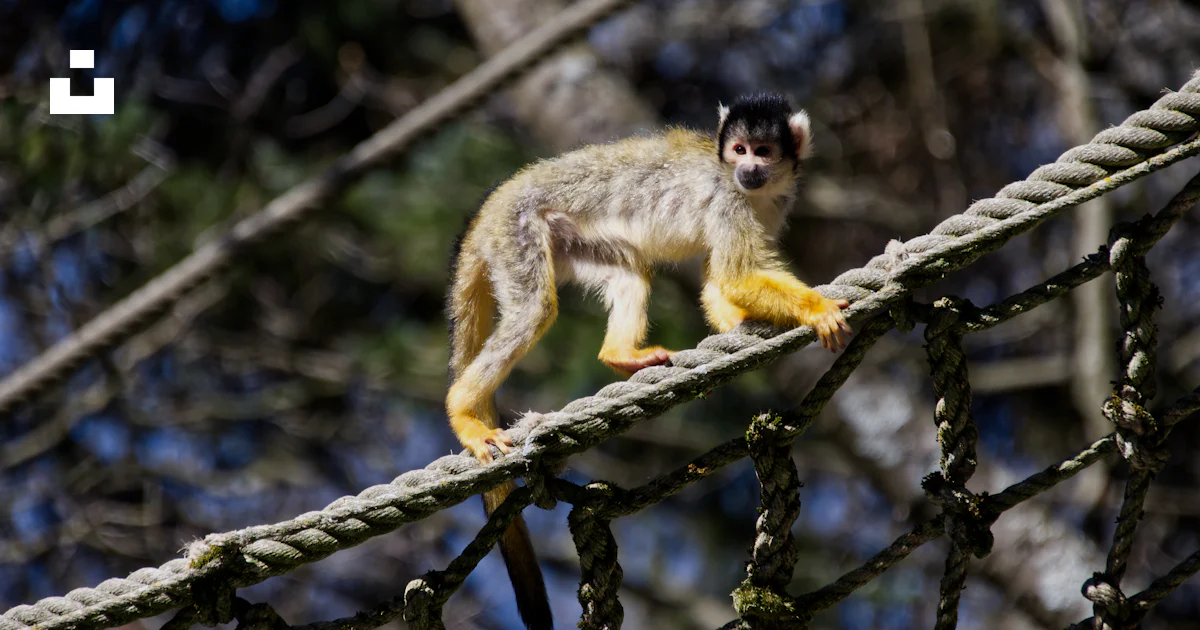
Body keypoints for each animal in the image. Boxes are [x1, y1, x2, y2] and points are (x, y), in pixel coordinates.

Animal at [445, 93, 851, 629]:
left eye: (762, 151)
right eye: (739, 150)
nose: (747, 169)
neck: (754, 190)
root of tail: (488, 209)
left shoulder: (769, 202)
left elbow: (718, 281)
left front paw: (736, 334)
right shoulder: (729, 197)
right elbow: (736, 274)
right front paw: (816, 308)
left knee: (629, 269)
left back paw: (621, 356)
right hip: (516, 232)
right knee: (535, 309)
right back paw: (464, 413)